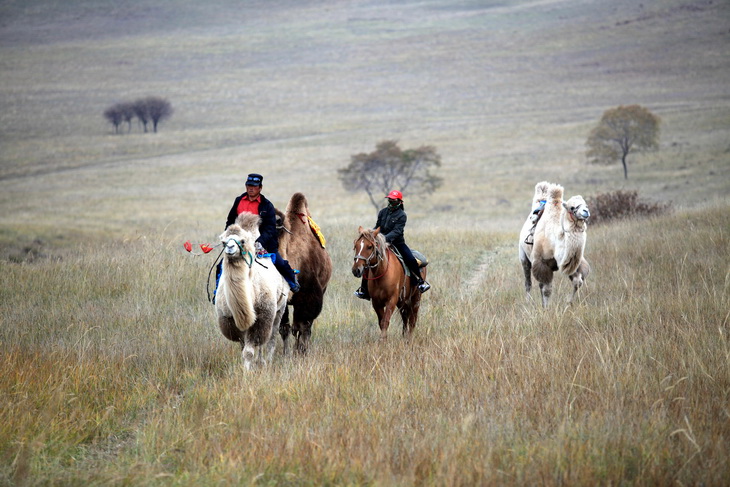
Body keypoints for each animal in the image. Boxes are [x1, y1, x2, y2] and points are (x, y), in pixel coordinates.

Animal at [215, 214, 288, 370]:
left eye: (242, 241)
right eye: (223, 241)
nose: (230, 248)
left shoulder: (262, 317)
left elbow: (249, 351)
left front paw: (247, 372)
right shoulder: (232, 321)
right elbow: (244, 348)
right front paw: (247, 368)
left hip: (279, 309)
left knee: (271, 338)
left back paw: (267, 361)